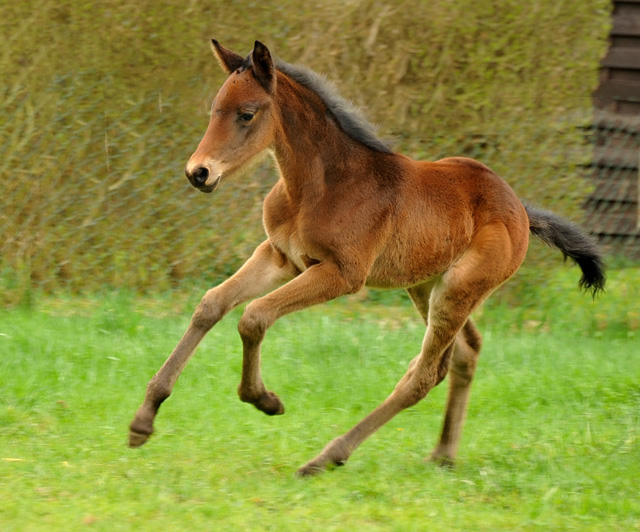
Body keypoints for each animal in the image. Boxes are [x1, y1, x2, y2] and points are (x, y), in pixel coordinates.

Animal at [127, 40, 604, 474]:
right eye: (214, 110)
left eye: (246, 114)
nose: (198, 172)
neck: (318, 186)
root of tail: (520, 208)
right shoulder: (280, 256)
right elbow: (212, 304)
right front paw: (144, 419)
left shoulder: (342, 274)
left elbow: (254, 316)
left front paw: (264, 400)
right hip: (426, 285)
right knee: (464, 353)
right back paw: (443, 455)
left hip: (459, 289)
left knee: (424, 375)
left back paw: (326, 457)